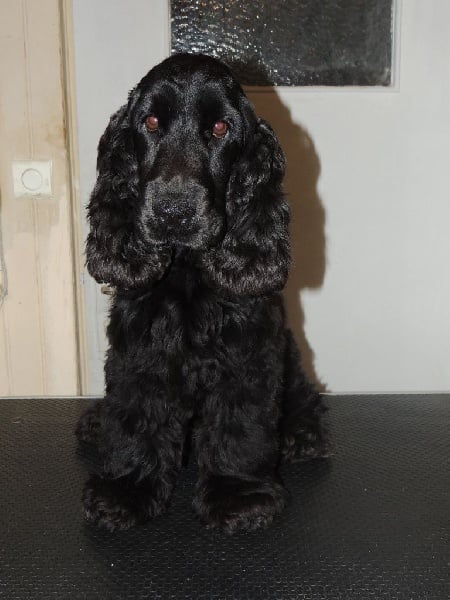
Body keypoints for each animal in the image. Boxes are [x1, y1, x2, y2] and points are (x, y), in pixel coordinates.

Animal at [76, 54, 330, 532]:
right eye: (151, 122)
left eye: (220, 128)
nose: (173, 211)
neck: (187, 270)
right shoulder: (139, 350)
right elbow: (136, 417)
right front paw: (126, 489)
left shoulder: (247, 355)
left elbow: (240, 425)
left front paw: (238, 495)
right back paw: (96, 421)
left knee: (304, 395)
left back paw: (301, 433)